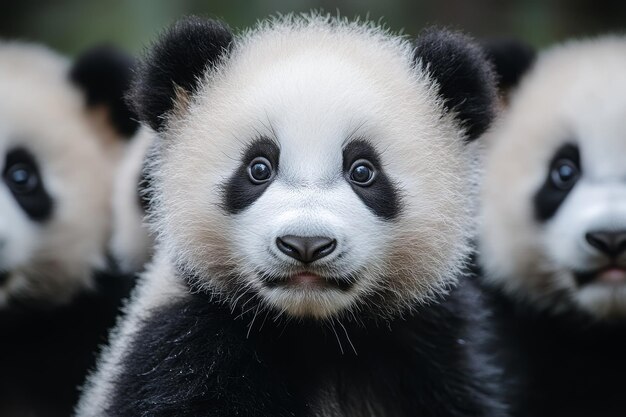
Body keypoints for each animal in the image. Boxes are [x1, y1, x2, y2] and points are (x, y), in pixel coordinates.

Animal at [75, 14, 502, 414]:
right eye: (258, 168)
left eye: (363, 171)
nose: (306, 244)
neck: (315, 331)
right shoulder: (182, 346)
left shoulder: (433, 351)